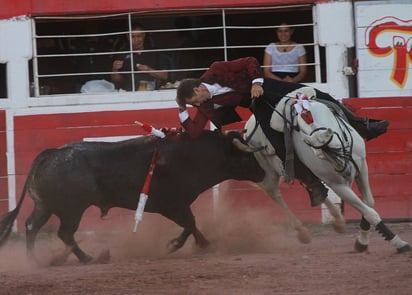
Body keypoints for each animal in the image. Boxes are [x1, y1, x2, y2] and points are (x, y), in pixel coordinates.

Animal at [0, 131, 264, 264]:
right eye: (246, 156)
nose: (262, 173)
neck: (192, 155)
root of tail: (51, 153)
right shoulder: (173, 205)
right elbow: (190, 223)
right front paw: (173, 245)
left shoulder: (178, 206)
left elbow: (193, 225)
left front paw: (205, 244)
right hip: (72, 210)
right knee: (64, 233)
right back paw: (90, 258)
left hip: (45, 205)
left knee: (31, 226)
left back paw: (34, 260)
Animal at [246, 86, 410, 254]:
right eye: (319, 154)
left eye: (335, 146)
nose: (345, 172)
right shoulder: (338, 185)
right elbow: (370, 212)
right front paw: (396, 243)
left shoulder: (362, 166)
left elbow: (369, 202)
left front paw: (362, 239)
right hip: (268, 175)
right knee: (275, 194)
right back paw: (303, 231)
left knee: (317, 188)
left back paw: (337, 221)